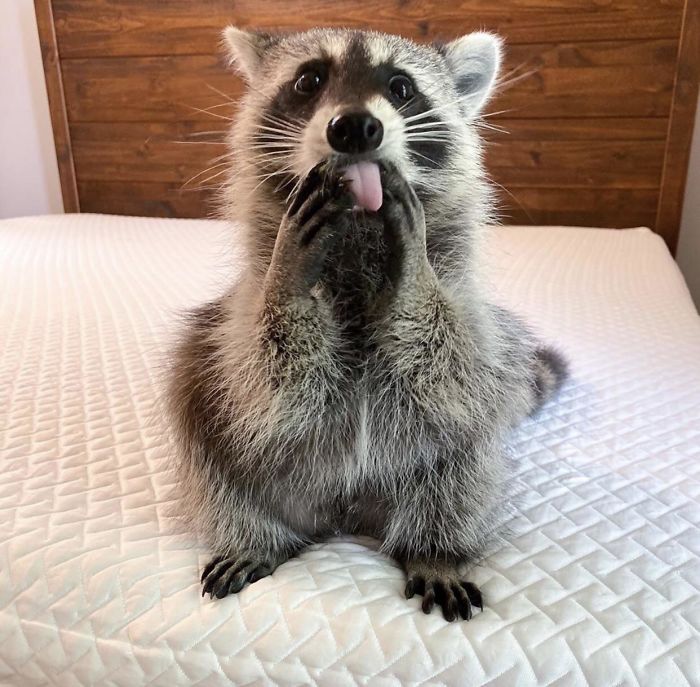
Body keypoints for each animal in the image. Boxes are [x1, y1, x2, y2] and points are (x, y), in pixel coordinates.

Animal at [167, 26, 567, 622]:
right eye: (309, 79)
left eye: (401, 87)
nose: (355, 127)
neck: (356, 236)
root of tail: (346, 512)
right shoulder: (240, 314)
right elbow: (263, 377)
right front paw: (288, 278)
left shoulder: (471, 308)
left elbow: (454, 364)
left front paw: (414, 270)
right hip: (239, 440)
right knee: (201, 421)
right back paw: (255, 536)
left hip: (442, 463)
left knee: (465, 457)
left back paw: (436, 550)